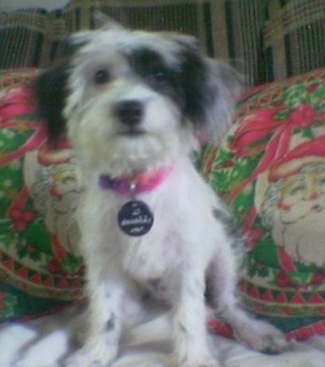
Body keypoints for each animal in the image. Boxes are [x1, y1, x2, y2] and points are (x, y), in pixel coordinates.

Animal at [34, 18, 288, 367]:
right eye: (100, 75)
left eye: (159, 76)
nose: (129, 108)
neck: (137, 184)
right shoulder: (104, 263)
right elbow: (106, 312)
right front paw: (96, 353)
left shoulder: (187, 262)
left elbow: (190, 316)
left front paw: (194, 358)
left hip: (222, 259)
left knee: (225, 304)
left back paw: (254, 331)